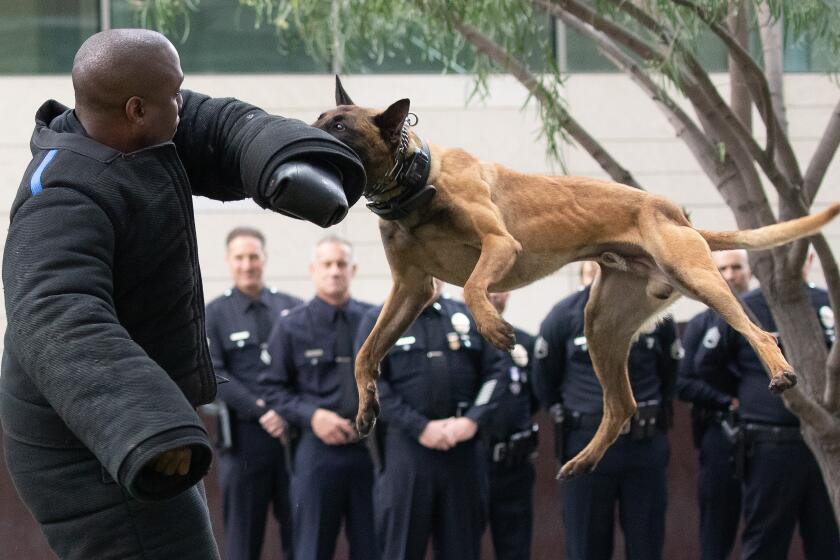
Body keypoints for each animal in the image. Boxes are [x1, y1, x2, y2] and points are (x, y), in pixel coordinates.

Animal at [314, 75, 840, 476]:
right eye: (321, 120)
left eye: (340, 126)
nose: (305, 133)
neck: (417, 180)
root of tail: (678, 214)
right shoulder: (412, 289)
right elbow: (365, 352)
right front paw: (365, 406)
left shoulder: (499, 245)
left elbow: (474, 287)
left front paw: (493, 328)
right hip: (603, 323)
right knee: (623, 406)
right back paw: (583, 461)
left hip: (699, 278)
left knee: (758, 330)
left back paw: (780, 369)